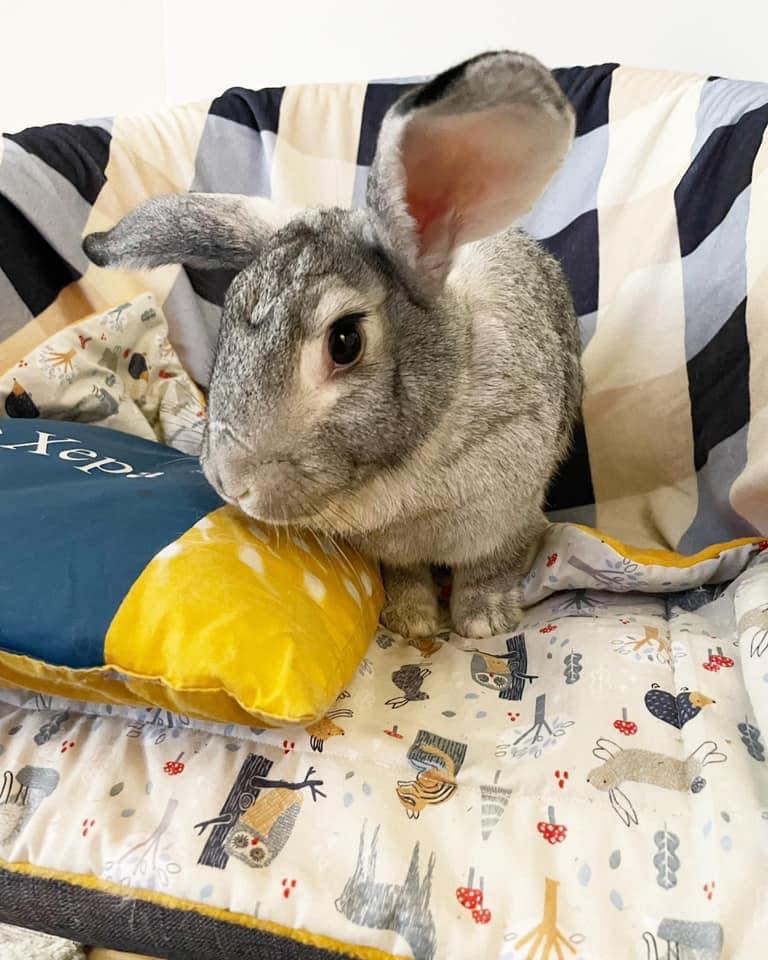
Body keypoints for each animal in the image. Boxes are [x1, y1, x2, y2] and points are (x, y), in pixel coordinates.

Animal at [82, 51, 582, 640]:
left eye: (345, 342)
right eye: (229, 312)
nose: (230, 481)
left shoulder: (510, 516)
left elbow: (490, 567)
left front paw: (483, 621)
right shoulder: (397, 551)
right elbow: (407, 574)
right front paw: (411, 620)